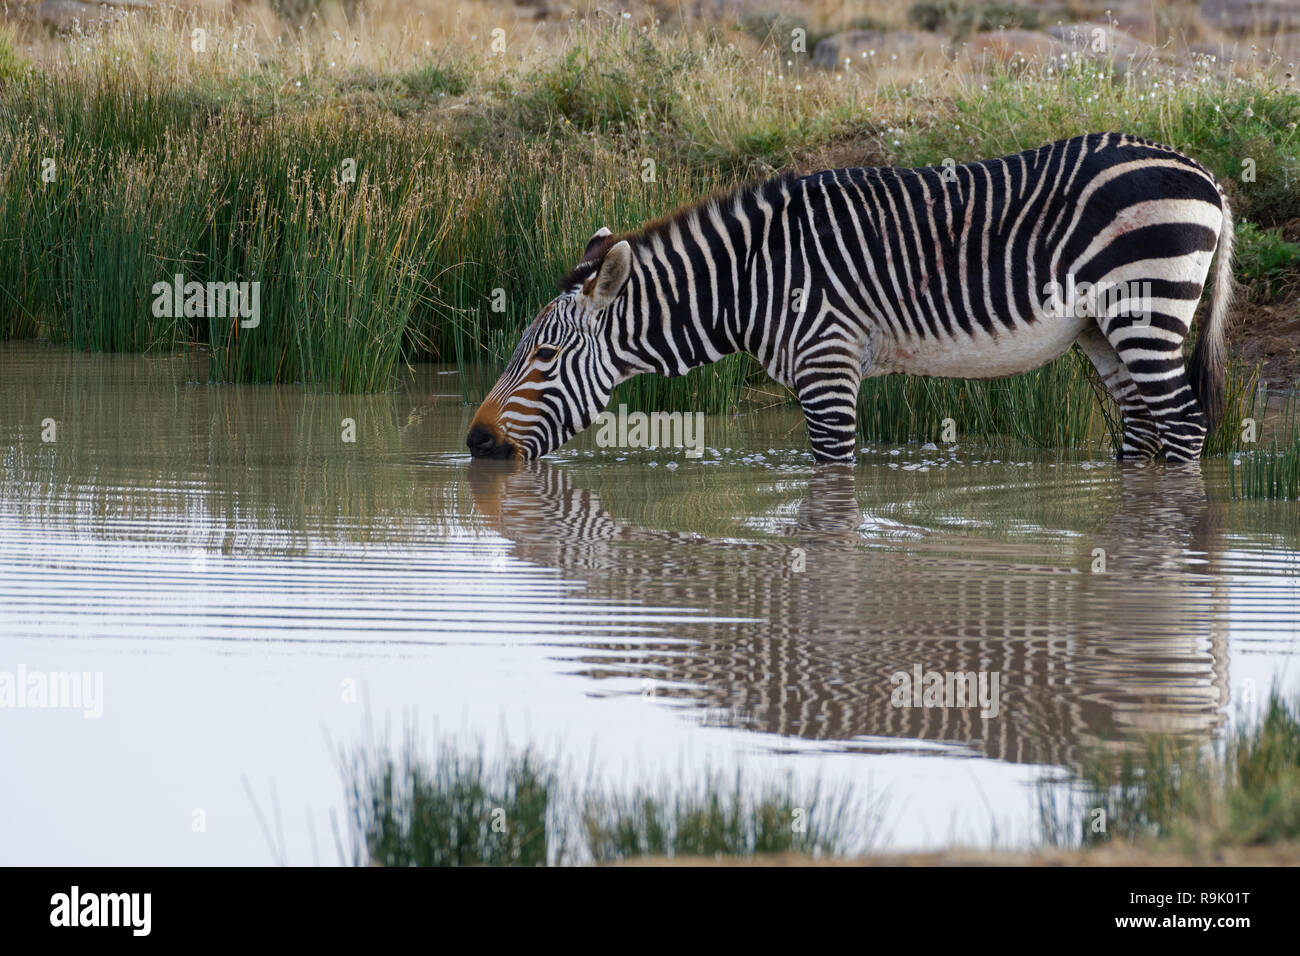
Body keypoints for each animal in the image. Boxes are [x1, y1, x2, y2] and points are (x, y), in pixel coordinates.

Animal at [465, 133, 1227, 463]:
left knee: (1184, 426)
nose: (474, 442)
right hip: (1104, 332)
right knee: (1142, 428)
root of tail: (1206, 174)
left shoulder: (827, 365)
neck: (753, 277)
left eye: (544, 355)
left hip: (1146, 309)